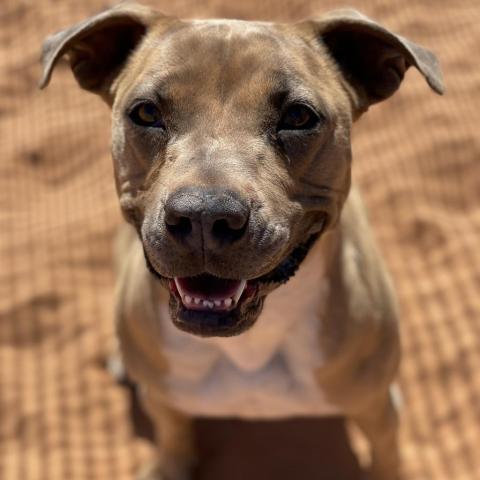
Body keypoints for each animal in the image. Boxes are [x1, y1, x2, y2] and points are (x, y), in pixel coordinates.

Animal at [40, 4, 442, 480]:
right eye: (145, 113)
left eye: (299, 117)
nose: (203, 216)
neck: (250, 343)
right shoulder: (165, 403)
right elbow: (173, 439)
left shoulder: (378, 411)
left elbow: (386, 456)